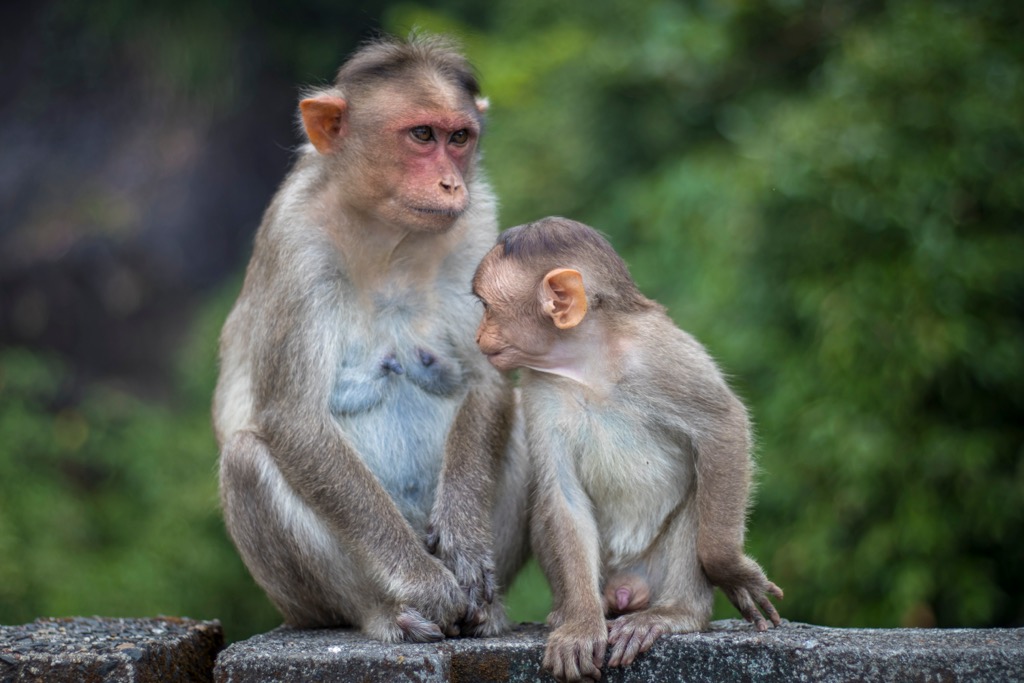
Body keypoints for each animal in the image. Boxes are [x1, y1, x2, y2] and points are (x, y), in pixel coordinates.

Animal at [212, 34, 530, 644]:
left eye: (459, 138)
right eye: (422, 135)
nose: (451, 183)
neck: (388, 237)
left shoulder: (477, 226)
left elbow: (487, 384)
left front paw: (465, 543)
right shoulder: (296, 242)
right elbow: (295, 419)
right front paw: (426, 585)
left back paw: (488, 609)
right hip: (304, 603)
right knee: (244, 458)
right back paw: (385, 612)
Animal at [471, 216, 782, 681]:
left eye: (487, 307)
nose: (477, 336)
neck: (588, 363)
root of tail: (626, 588)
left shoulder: (661, 356)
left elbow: (724, 427)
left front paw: (730, 570)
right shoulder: (540, 388)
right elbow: (562, 495)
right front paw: (582, 626)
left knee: (700, 494)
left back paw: (676, 613)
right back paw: (575, 609)